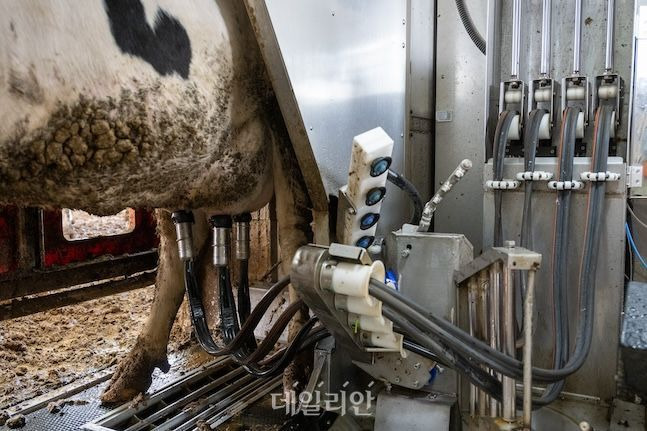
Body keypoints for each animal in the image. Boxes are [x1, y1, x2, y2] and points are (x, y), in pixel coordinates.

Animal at [0, 0, 314, 404]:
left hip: (285, 121)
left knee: (293, 234)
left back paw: (297, 371)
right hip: (183, 167)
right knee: (178, 245)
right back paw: (132, 370)